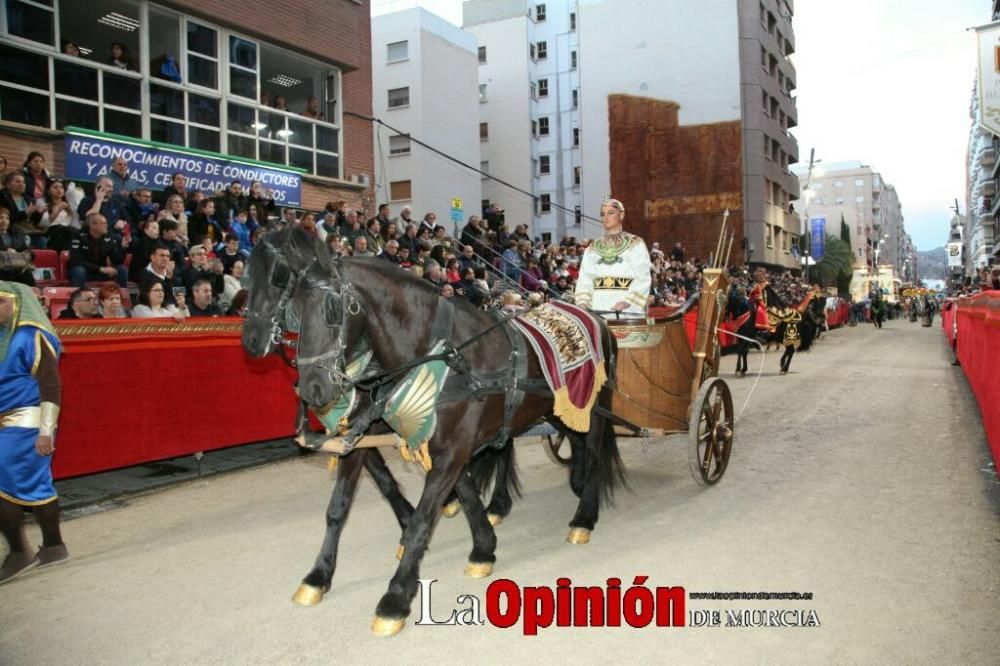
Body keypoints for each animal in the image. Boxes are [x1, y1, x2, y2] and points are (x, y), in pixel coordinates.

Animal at [284, 227, 624, 632]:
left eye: (332, 310)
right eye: (294, 311)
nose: (312, 388)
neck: (440, 354)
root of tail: (596, 317)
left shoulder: (452, 449)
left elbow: (422, 519)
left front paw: (395, 598)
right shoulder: (436, 445)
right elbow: (345, 507)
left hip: (594, 404)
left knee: (593, 450)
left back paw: (584, 516)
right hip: (557, 406)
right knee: (575, 439)